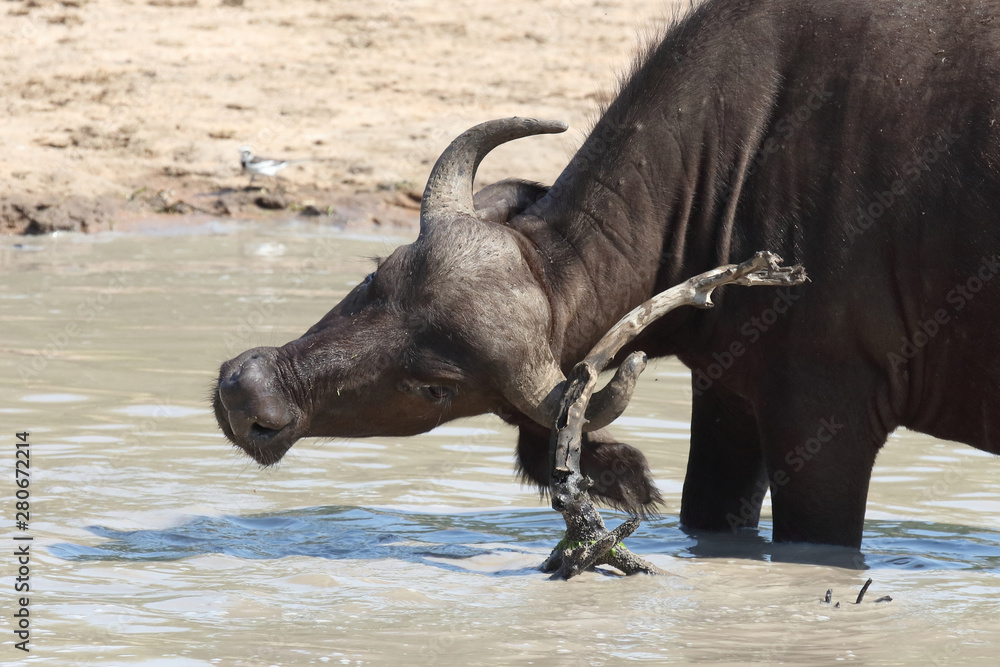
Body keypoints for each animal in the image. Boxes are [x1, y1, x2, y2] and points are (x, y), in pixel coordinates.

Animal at [214, 0, 1000, 549]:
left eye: (435, 386)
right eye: (376, 279)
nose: (249, 390)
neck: (747, 159)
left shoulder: (826, 426)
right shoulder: (730, 396)